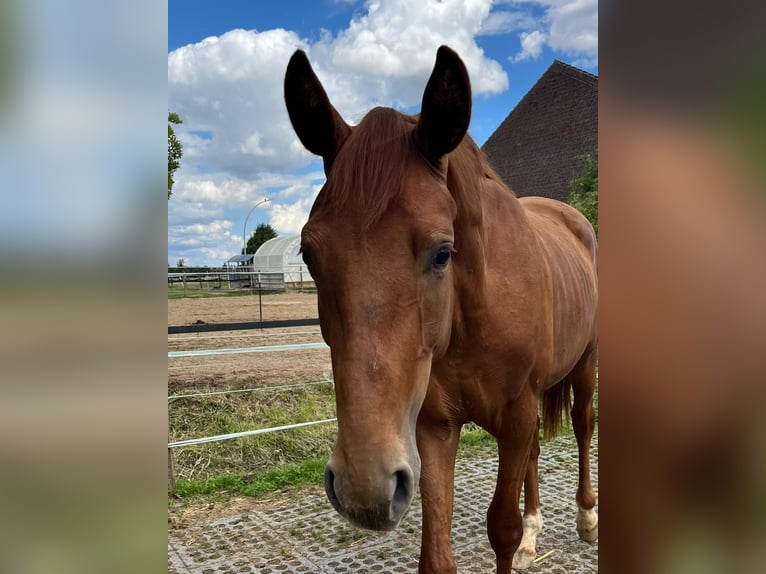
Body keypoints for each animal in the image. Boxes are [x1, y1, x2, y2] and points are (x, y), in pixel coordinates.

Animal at [286, 46, 600, 574]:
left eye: (442, 252)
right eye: (309, 254)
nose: (363, 486)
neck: (470, 320)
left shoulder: (516, 413)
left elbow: (501, 529)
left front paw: (522, 533)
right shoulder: (434, 426)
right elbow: (436, 550)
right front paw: (522, 535)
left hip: (584, 366)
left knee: (582, 428)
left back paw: (586, 519)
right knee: (537, 452)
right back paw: (535, 533)